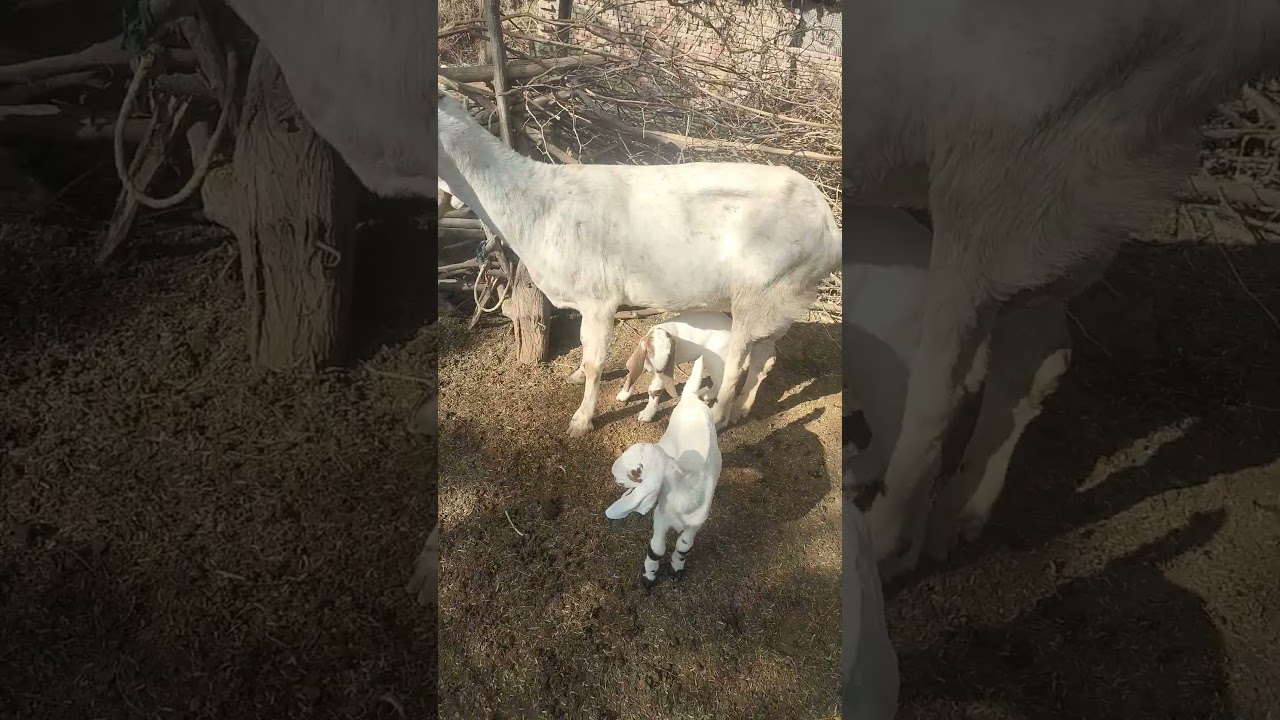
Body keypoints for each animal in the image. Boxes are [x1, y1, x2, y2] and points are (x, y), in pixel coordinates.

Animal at [606, 356, 721, 590]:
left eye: (634, 472)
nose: (613, 474)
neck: (685, 491)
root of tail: (691, 397)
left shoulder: (696, 523)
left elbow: (684, 545)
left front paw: (676, 569)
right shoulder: (661, 516)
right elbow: (656, 550)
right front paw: (649, 577)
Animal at [617, 311, 780, 424]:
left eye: (670, 353)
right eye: (650, 350)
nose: (659, 369)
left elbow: (655, 389)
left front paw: (646, 415)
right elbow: (633, 374)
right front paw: (623, 394)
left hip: (714, 358)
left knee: (722, 382)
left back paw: (707, 396)